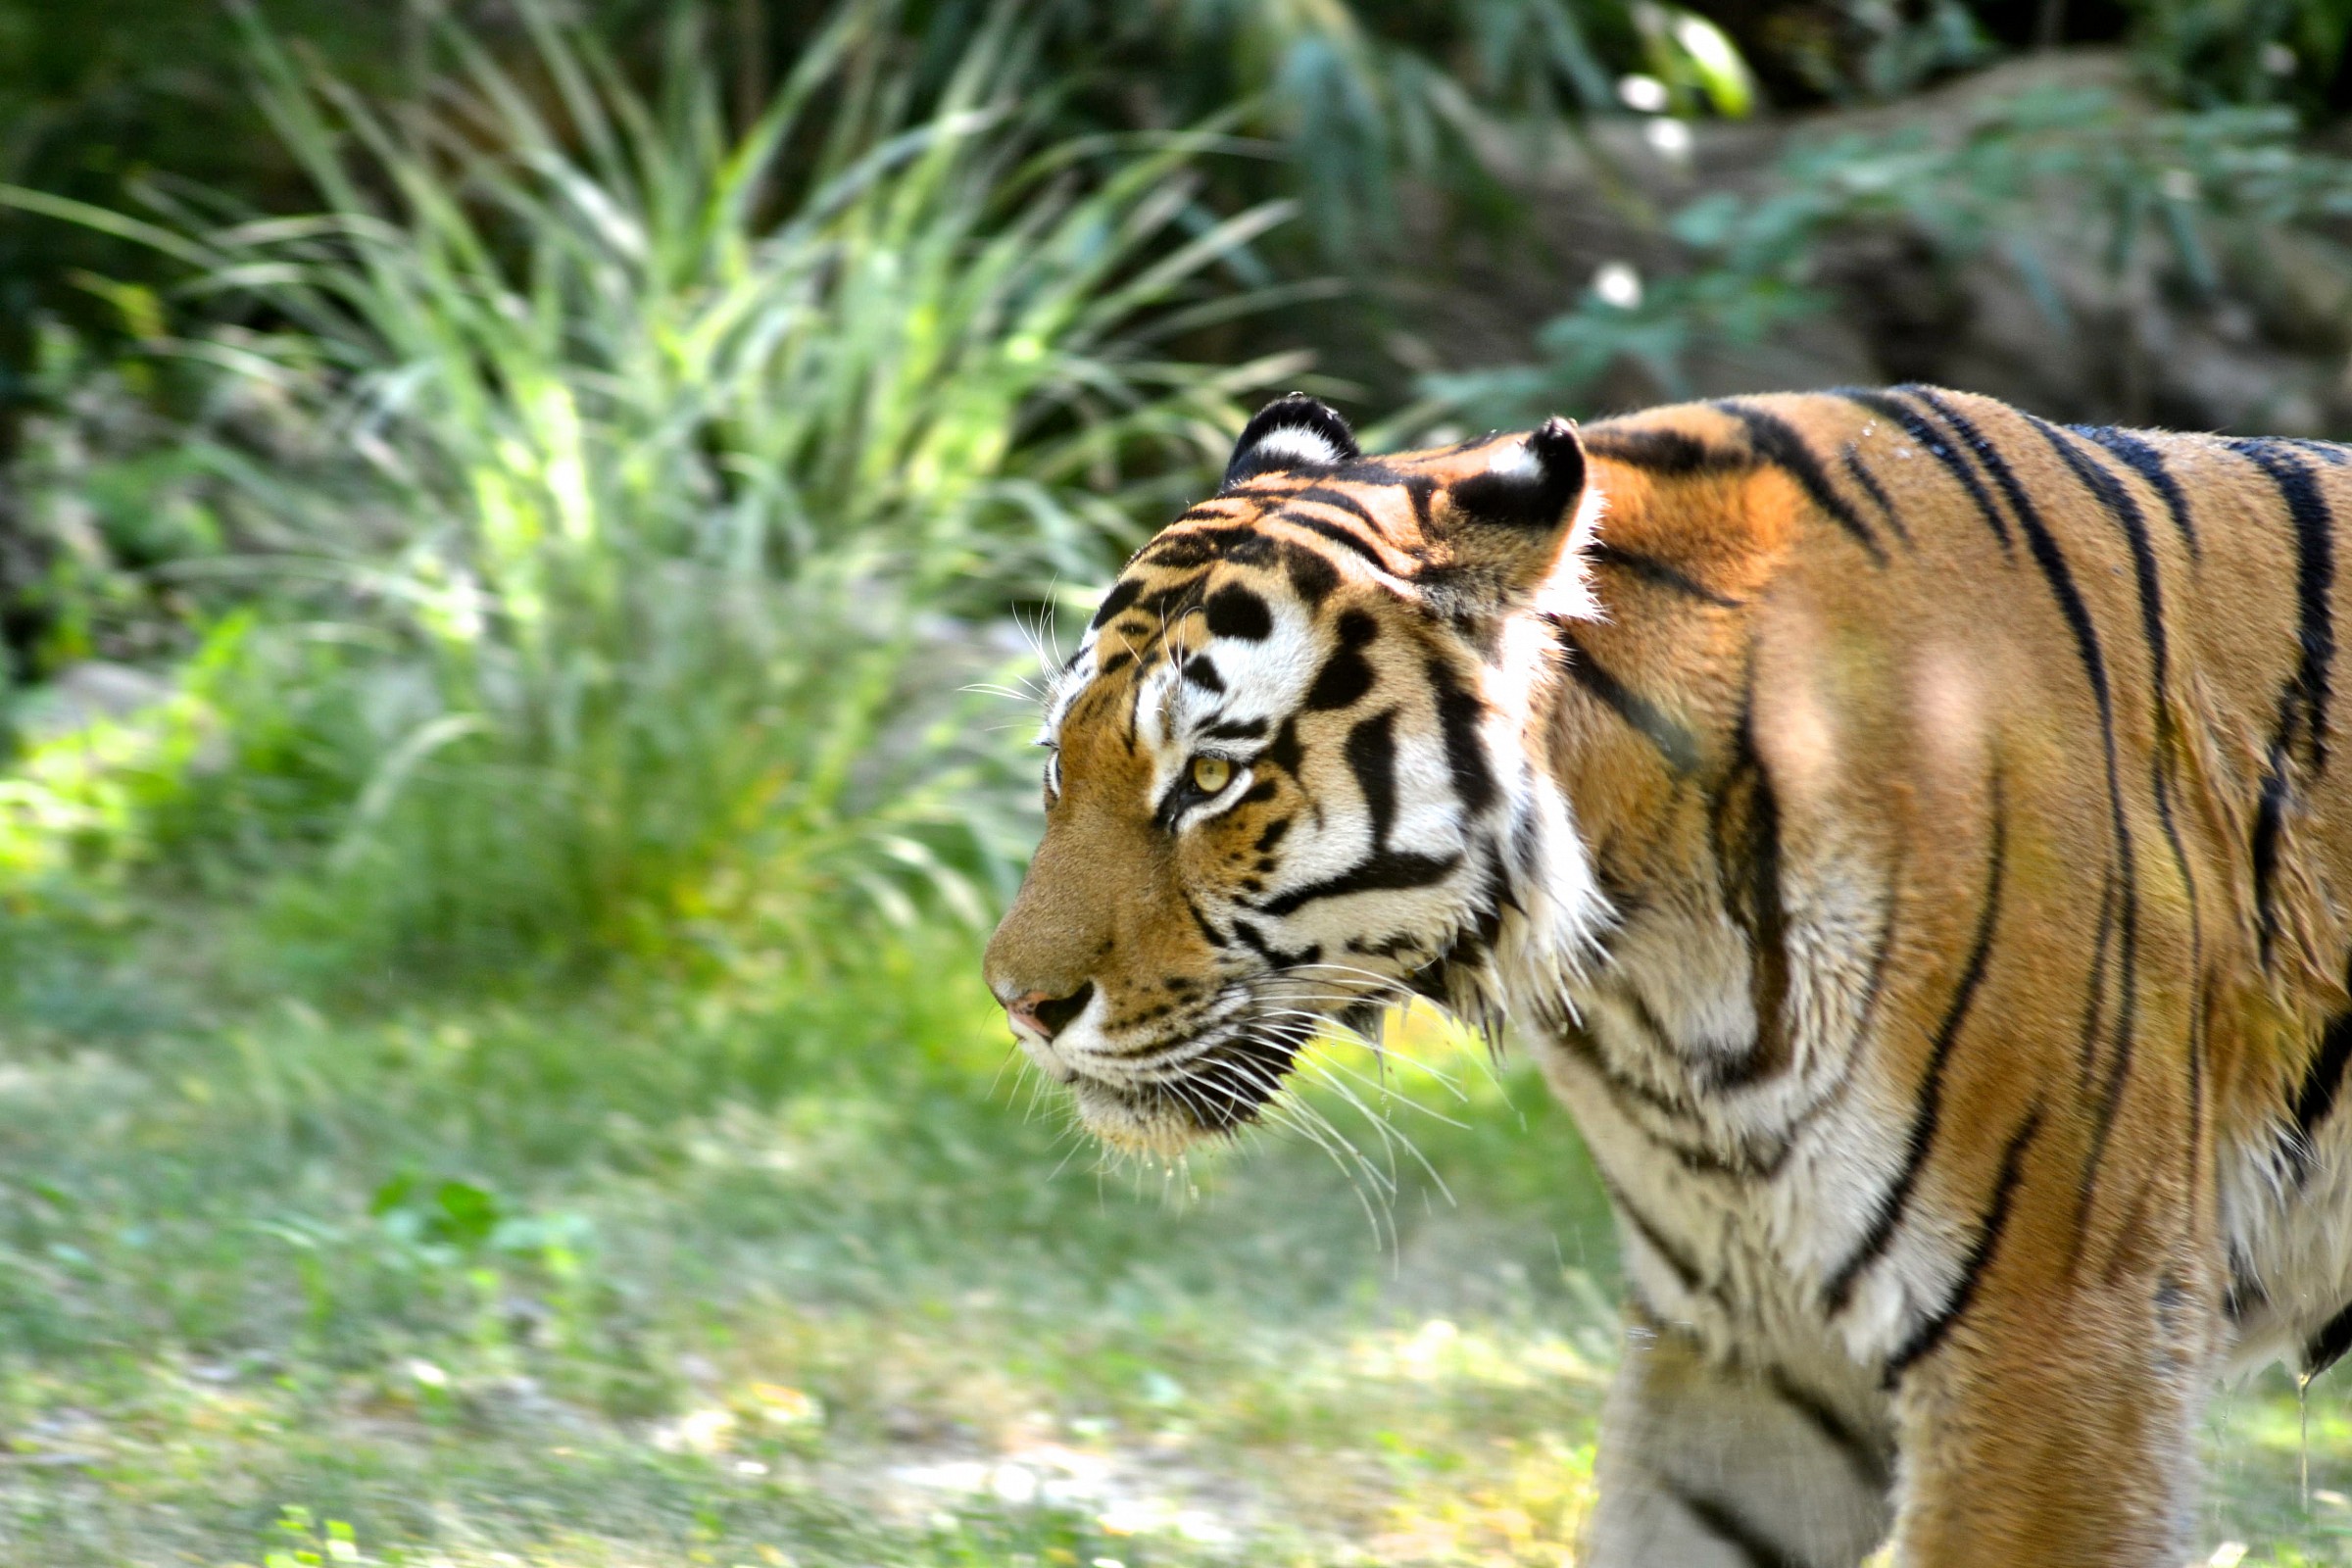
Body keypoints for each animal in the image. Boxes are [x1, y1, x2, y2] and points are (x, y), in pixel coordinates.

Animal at [982, 384, 2352, 1564]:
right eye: (1059, 762)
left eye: (1213, 777)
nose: (1017, 1005)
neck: (1654, 976)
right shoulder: (1748, 1342)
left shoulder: (2058, 1338)